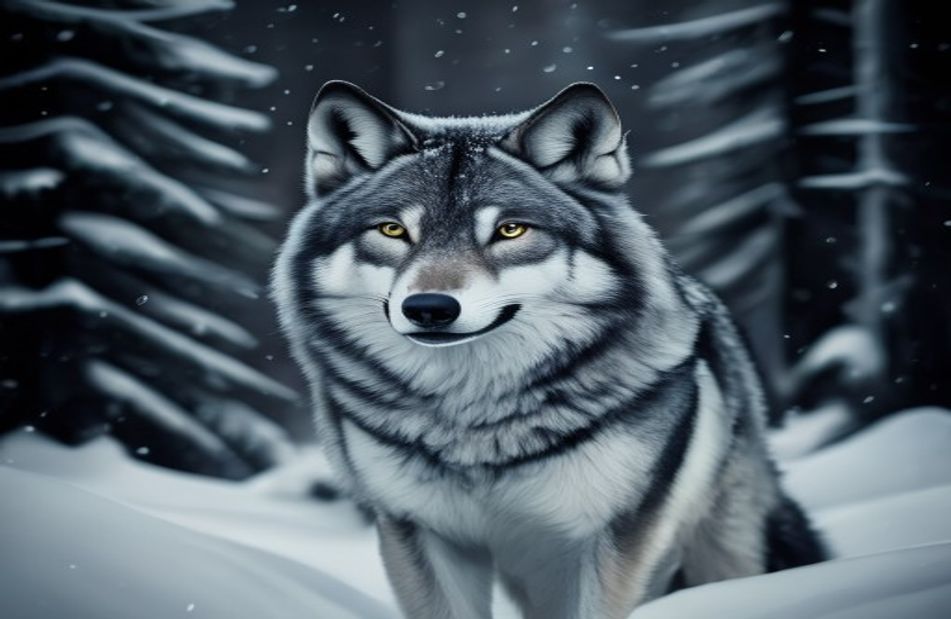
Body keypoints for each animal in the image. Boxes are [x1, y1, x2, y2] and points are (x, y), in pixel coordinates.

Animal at [273, 80, 825, 619]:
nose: (429, 308)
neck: (475, 422)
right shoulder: (422, 533)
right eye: (393, 229)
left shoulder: (613, 540)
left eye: (510, 230)